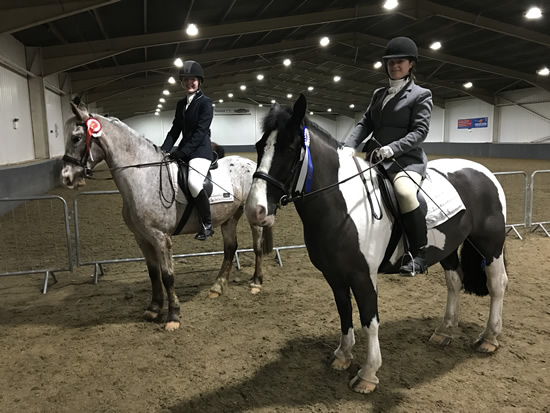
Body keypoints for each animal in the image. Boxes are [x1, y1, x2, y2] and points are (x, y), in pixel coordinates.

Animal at [61, 104, 272, 332]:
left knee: (257, 247)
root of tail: (251, 164)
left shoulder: (160, 237)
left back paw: (256, 283)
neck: (144, 178)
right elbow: (153, 273)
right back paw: (217, 287)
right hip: (229, 218)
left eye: (76, 138)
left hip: (253, 218)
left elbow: (168, 276)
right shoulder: (142, 237)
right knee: (230, 248)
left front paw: (173, 316)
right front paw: (153, 308)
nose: (66, 178)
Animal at [246, 94, 508, 392]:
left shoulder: (363, 276)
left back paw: (489, 338)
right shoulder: (334, 275)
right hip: (448, 247)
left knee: (497, 285)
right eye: (259, 146)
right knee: (454, 283)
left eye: (290, 149)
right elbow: (344, 312)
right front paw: (343, 356)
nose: (255, 211)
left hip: (490, 244)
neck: (342, 204)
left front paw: (368, 374)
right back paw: (444, 332)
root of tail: (484, 172)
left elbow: (369, 320)